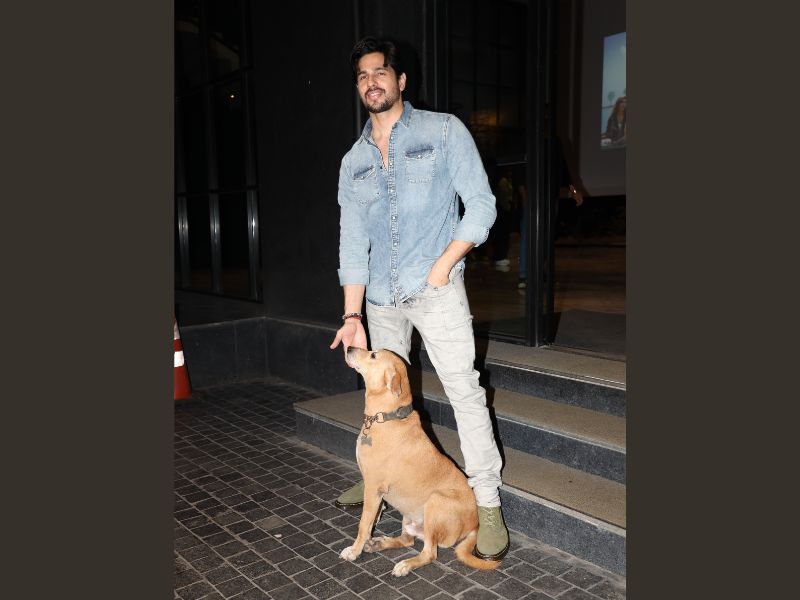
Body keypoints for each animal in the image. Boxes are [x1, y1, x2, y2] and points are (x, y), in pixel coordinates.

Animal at [338, 347, 500, 576]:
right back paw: (380, 544)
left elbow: (364, 524)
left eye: (373, 355)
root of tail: (474, 526)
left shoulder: (372, 488)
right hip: (409, 513)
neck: (385, 417)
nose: (350, 348)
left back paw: (406, 564)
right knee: (407, 540)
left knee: (429, 553)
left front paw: (354, 550)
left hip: (435, 501)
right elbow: (373, 520)